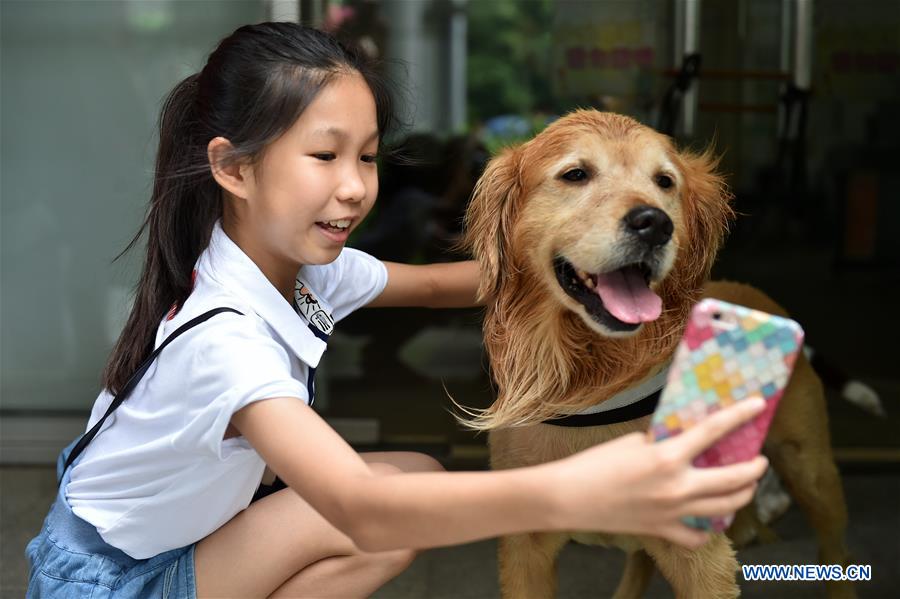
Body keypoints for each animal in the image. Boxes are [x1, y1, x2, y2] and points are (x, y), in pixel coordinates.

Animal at [464, 110, 856, 596]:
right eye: (575, 174)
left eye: (665, 182)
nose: (654, 223)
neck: (595, 385)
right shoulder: (524, 547)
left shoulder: (702, 558)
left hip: (810, 467)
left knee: (834, 549)